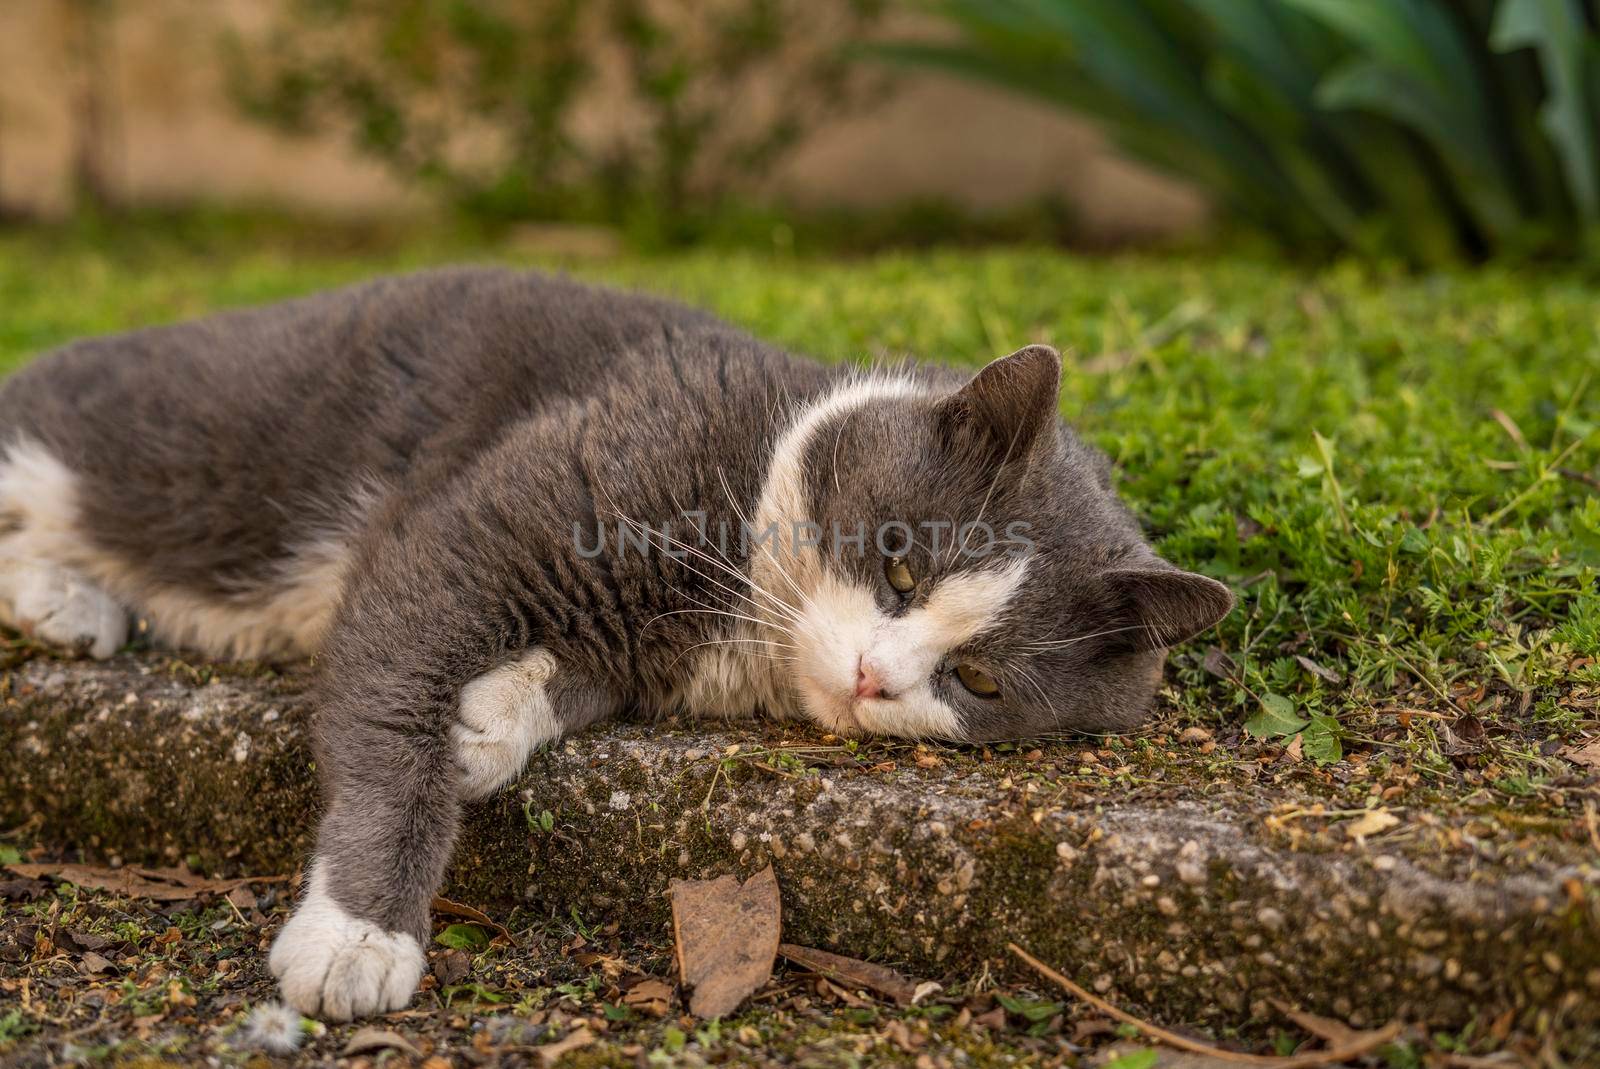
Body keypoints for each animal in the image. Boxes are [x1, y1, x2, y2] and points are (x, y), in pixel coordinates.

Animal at [0, 267, 1235, 1017]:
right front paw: (359, 933)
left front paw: (489, 725)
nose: (873, 678)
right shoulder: (472, 535)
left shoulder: (627, 640)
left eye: (977, 679)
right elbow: (394, 694)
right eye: (898, 564)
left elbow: (569, 677)